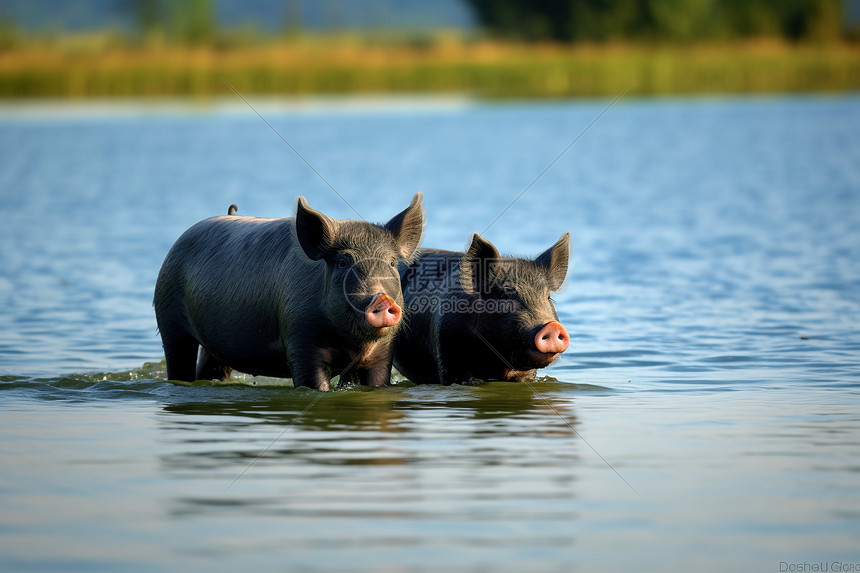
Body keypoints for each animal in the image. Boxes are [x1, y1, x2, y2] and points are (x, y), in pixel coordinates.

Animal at [156, 194, 424, 392]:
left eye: (391, 263)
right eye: (342, 262)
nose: (381, 298)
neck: (351, 343)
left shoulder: (384, 350)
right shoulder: (300, 333)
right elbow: (312, 382)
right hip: (168, 316)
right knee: (178, 359)